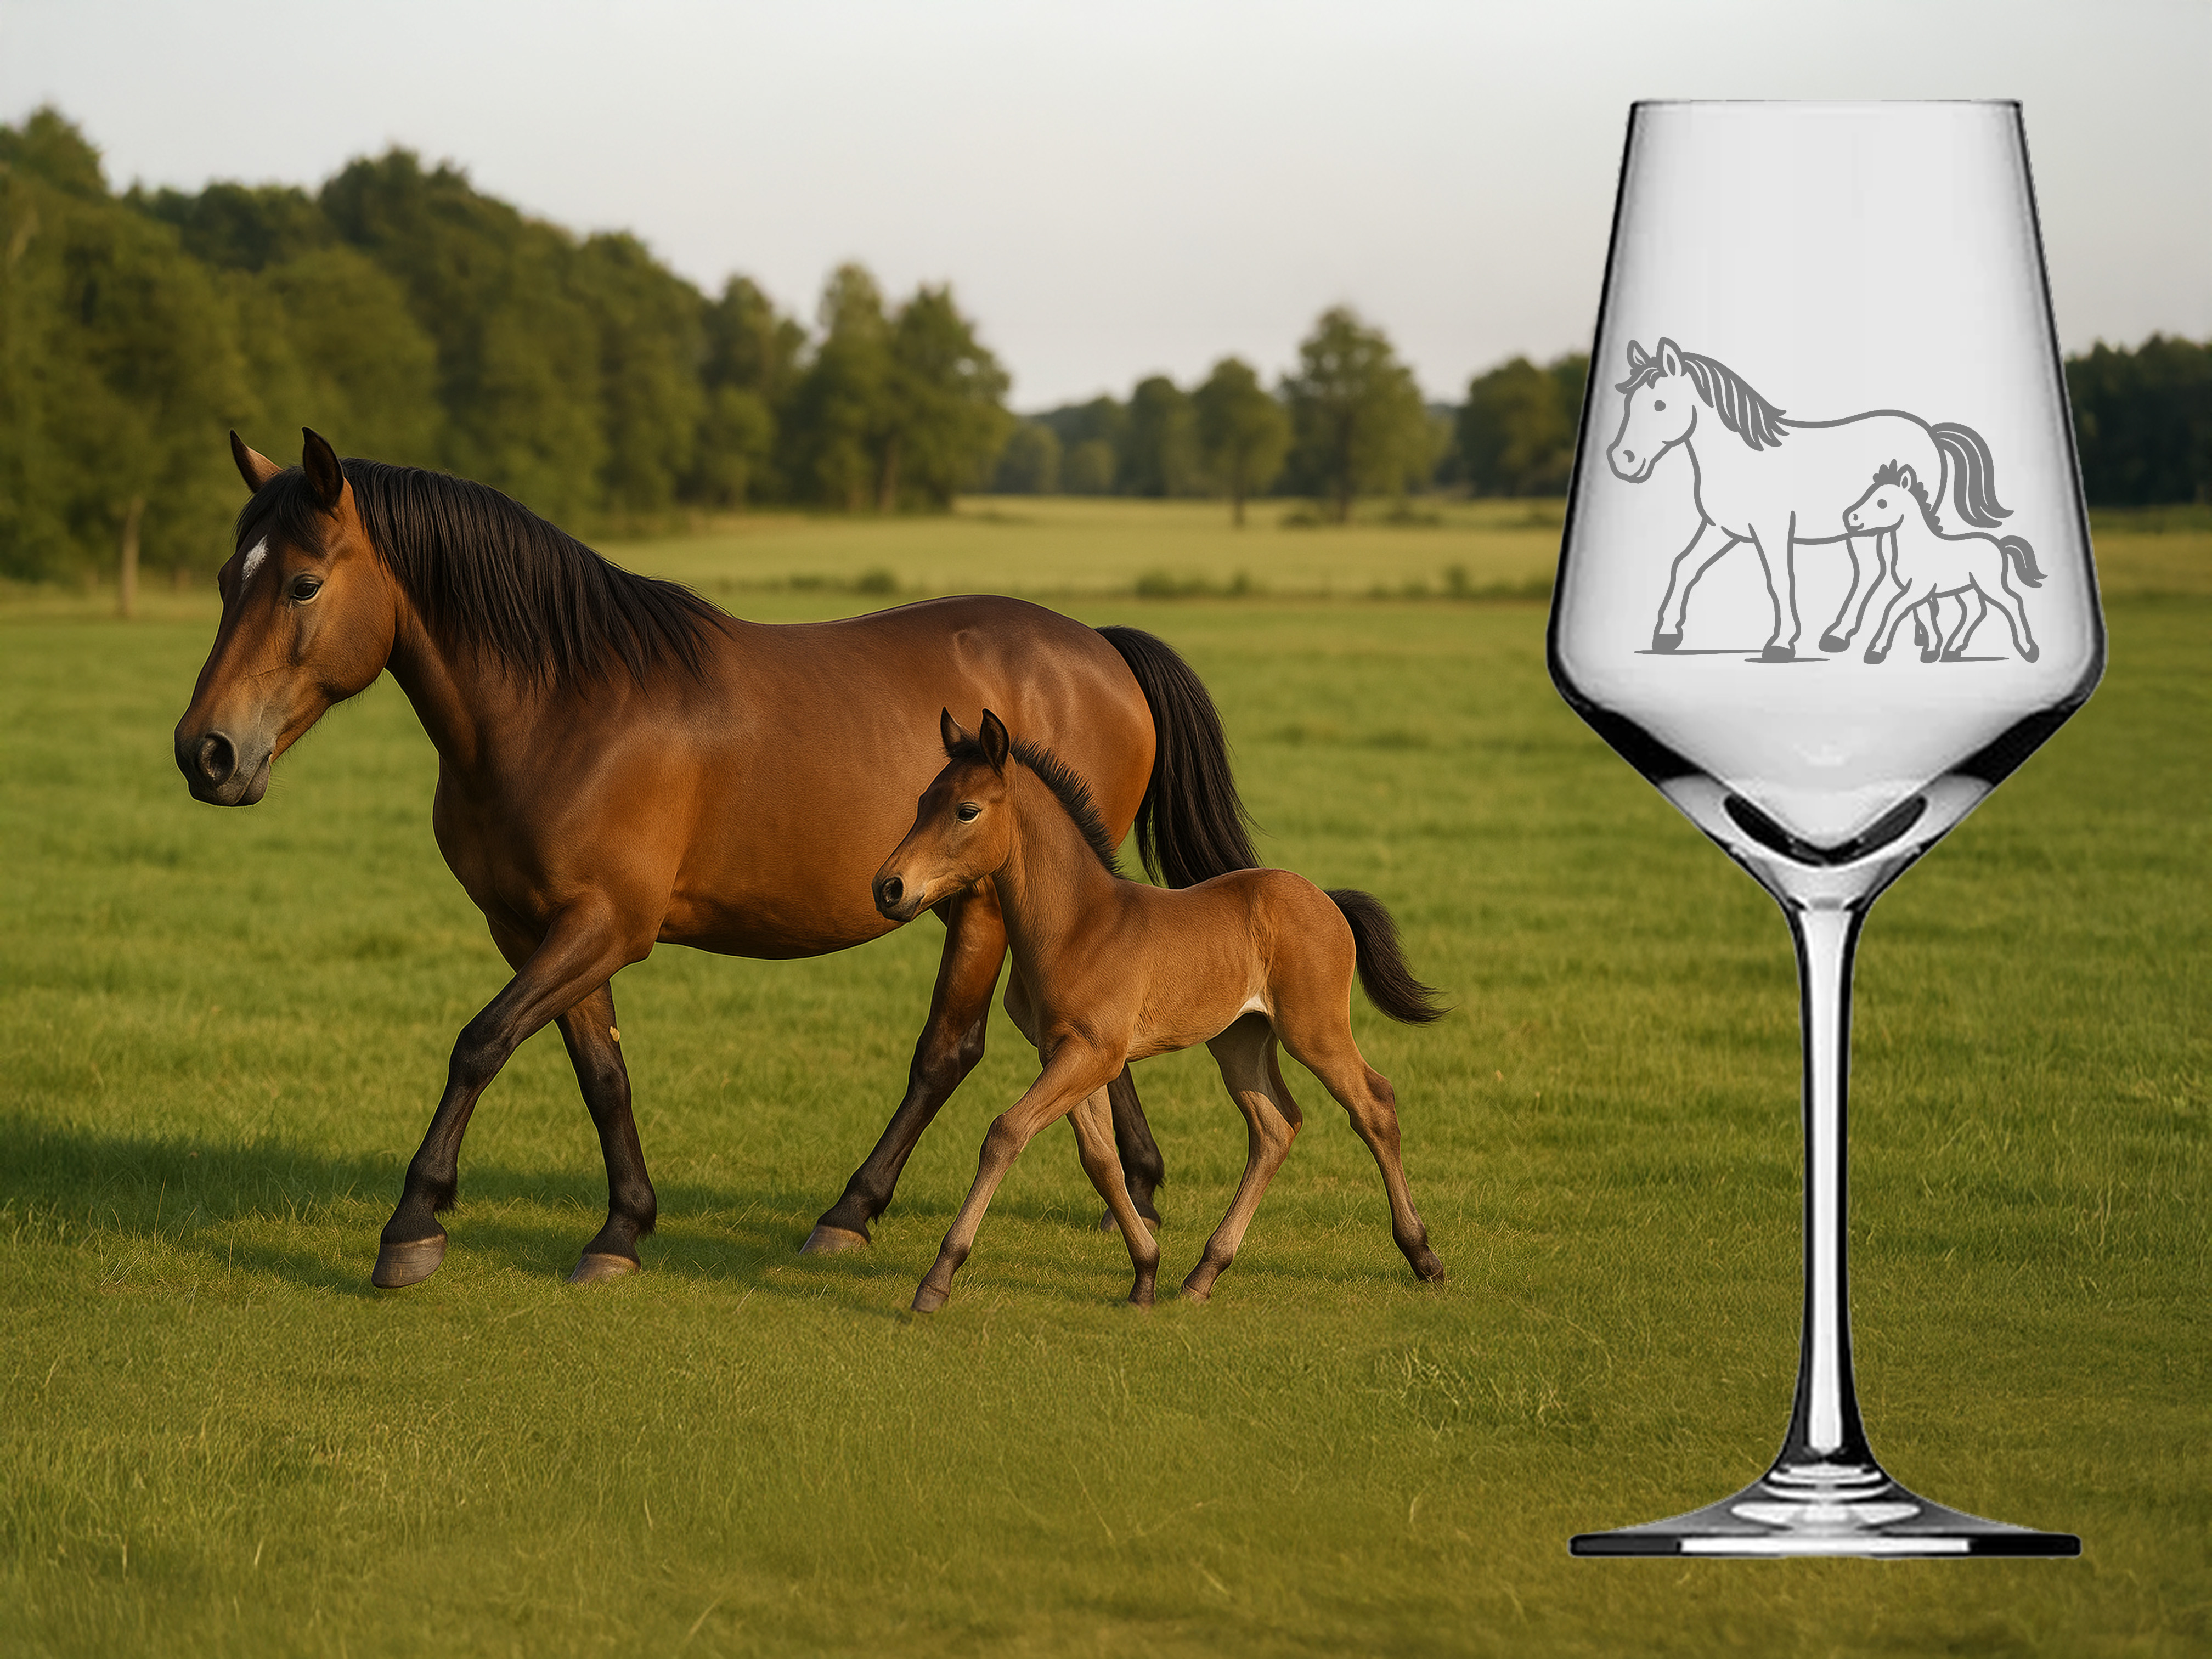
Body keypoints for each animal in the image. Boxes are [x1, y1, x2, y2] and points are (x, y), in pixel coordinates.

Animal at [175, 430, 1259, 1289]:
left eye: (304, 583)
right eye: (228, 580)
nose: (207, 752)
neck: (565, 703)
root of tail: (1099, 649)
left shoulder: (605, 925)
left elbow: (479, 1042)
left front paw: (413, 1223)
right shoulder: (538, 928)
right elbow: (601, 1073)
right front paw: (622, 1228)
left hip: (986, 906)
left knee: (947, 1053)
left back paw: (850, 1213)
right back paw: (1139, 1190)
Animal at [872, 708, 1448, 1313]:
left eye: (967, 810)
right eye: (921, 802)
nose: (889, 888)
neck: (1078, 925)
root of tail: (1326, 899)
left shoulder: (1094, 1054)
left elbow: (1006, 1133)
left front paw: (937, 1278)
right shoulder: (1063, 1052)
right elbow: (1099, 1159)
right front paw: (1145, 1274)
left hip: (1313, 1029)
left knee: (1373, 1103)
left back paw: (1424, 1257)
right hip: (1240, 1039)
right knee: (1274, 1127)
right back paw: (1203, 1274)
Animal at [1604, 338, 2016, 661]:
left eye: (1659, 405)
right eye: (1628, 402)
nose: (1622, 460)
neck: (1742, 459)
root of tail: (1930, 432)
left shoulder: (1771, 531)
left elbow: (1779, 581)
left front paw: (1781, 644)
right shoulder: (1723, 530)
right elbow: (1684, 566)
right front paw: (1667, 635)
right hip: (1862, 529)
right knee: (1873, 573)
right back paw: (1848, 636)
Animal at [1842, 461, 2044, 665]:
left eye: (1882, 503)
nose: (1851, 517)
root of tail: (1999, 545)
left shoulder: (1919, 589)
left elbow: (1893, 609)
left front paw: (1876, 651)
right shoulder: (1920, 591)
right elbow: (1925, 615)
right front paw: (1931, 651)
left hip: (1988, 584)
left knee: (2013, 601)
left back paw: (2028, 649)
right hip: (1967, 588)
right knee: (1976, 611)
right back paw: (1952, 650)